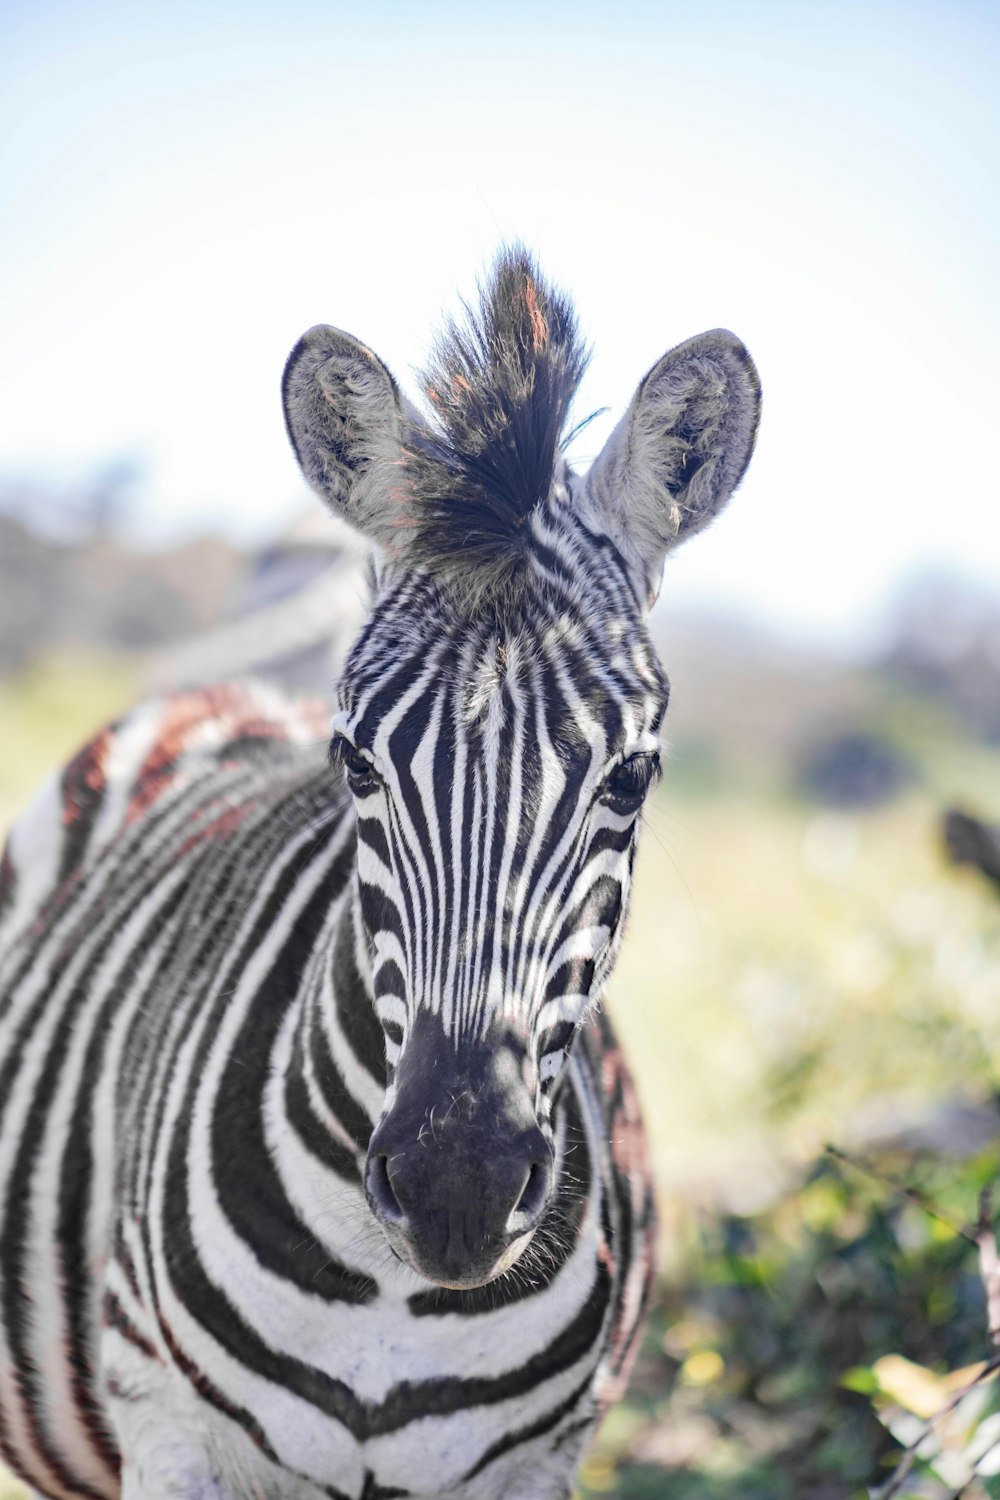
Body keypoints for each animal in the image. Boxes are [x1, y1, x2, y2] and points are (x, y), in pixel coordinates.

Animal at [0, 252, 758, 1494]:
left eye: (633, 778)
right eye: (356, 761)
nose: (459, 1192)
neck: (395, 1297)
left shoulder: (535, 1462)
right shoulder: (170, 1431)